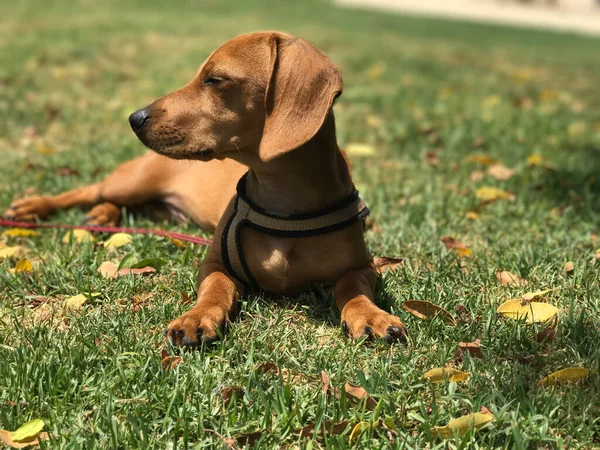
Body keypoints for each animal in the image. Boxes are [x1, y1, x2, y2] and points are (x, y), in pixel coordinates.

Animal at [5, 31, 408, 346]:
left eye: (215, 79)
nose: (135, 118)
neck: (283, 203)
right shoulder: (215, 262)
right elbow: (216, 288)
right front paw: (196, 318)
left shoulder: (363, 266)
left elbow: (351, 287)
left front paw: (371, 315)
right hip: (133, 181)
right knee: (90, 191)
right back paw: (34, 207)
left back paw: (101, 217)